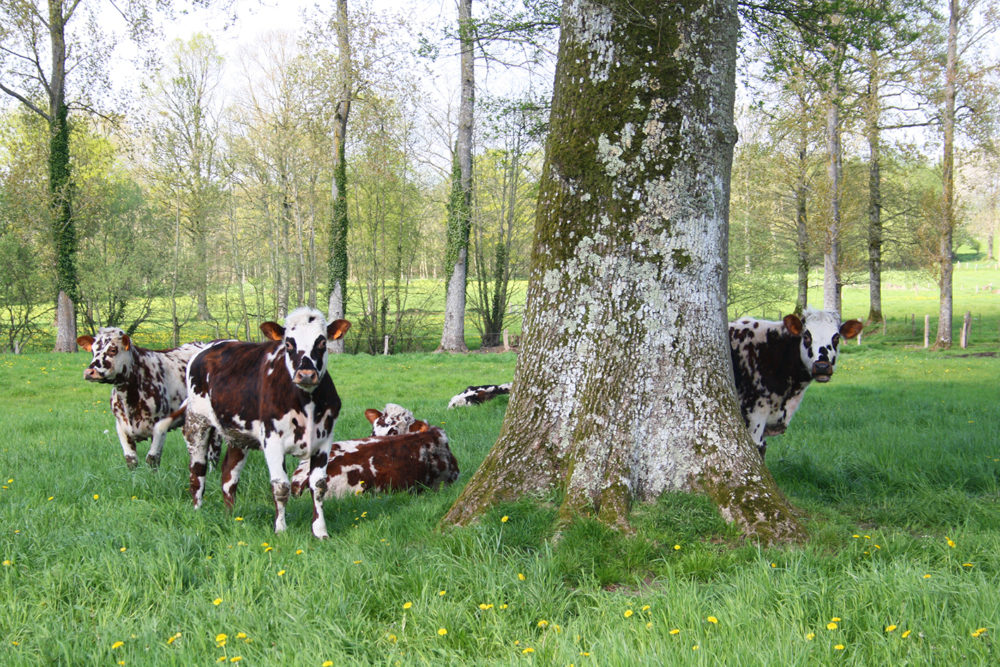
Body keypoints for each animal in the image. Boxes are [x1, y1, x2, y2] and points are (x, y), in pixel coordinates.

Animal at [79, 330, 215, 470]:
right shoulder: (121, 427)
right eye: (93, 351)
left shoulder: (160, 426)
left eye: (113, 349)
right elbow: (131, 460)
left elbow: (152, 459)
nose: (89, 372)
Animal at [184, 310, 352, 540]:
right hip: (197, 422)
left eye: (322, 342)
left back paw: (231, 516)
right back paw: (197, 511)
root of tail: (209, 346)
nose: (306, 375)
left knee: (228, 475)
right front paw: (280, 530)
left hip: (238, 434)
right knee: (197, 471)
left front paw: (320, 531)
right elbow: (281, 487)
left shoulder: (325, 440)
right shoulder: (272, 441)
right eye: (288, 344)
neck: (306, 401)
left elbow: (318, 485)